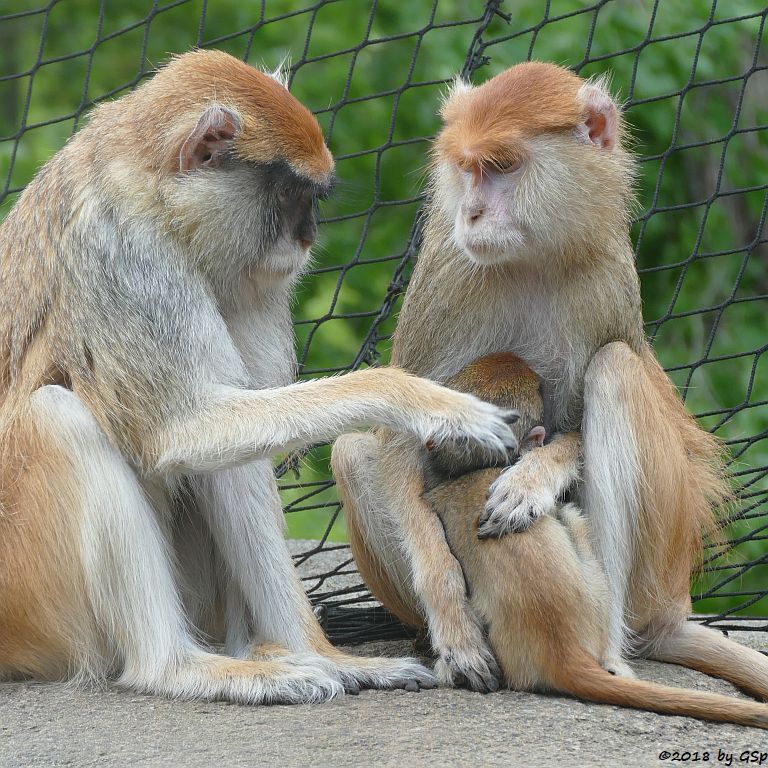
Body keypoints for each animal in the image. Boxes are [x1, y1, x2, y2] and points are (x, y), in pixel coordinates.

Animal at [0, 51, 520, 704]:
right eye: (294, 193)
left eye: (315, 197)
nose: (307, 237)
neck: (155, 191)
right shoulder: (126, 258)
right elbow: (184, 428)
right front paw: (433, 403)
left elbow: (225, 449)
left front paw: (333, 659)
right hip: (29, 589)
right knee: (59, 414)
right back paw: (181, 668)